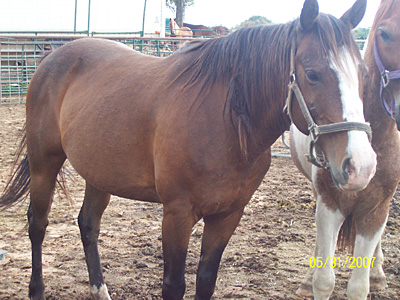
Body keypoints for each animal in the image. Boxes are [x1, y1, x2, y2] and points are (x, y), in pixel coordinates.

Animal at [0, 0, 376, 300]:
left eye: (363, 73)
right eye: (312, 74)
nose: (362, 166)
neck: (225, 124)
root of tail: (53, 57)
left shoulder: (227, 215)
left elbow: (206, 280)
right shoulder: (177, 214)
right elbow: (174, 284)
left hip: (99, 173)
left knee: (88, 224)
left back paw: (100, 289)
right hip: (44, 163)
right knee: (38, 224)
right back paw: (37, 290)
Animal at [290, 0, 400, 298]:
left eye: (363, 73)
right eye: (385, 34)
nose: (360, 166)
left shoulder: (376, 210)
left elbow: (359, 286)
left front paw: (373, 275)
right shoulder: (330, 205)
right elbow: (324, 280)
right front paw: (311, 279)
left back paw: (378, 272)